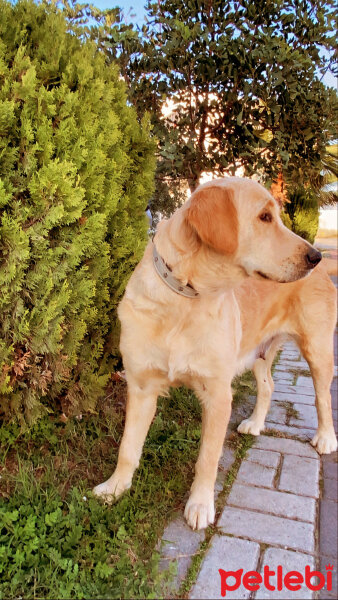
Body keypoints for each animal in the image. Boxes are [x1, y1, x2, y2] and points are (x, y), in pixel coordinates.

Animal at [93, 177, 338, 528]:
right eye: (265, 217)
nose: (314, 256)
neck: (184, 299)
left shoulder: (219, 394)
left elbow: (207, 459)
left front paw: (199, 505)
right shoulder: (141, 387)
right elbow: (127, 448)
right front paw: (115, 488)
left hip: (317, 350)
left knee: (322, 396)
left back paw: (326, 438)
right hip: (258, 351)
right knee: (269, 386)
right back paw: (255, 423)